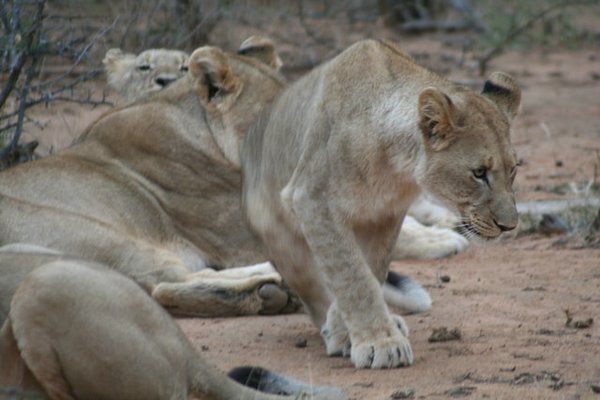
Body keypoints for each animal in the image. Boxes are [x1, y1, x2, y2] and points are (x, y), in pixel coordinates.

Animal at [241, 39, 524, 368]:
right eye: (479, 173)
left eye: (513, 170)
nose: (509, 226)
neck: (394, 164)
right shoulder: (312, 199)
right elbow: (352, 276)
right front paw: (380, 343)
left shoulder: (385, 215)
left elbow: (371, 271)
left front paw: (357, 332)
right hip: (281, 239)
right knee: (313, 290)